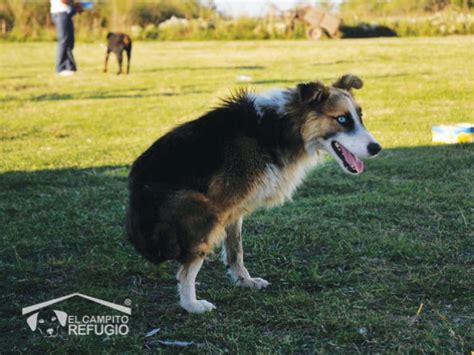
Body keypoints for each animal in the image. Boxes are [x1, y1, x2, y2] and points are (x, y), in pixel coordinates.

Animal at [128, 74, 384, 314]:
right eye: (342, 119)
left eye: (360, 117)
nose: (377, 148)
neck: (280, 128)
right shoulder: (221, 205)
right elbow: (191, 268)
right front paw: (191, 304)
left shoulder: (234, 207)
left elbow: (236, 250)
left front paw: (244, 280)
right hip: (204, 210)